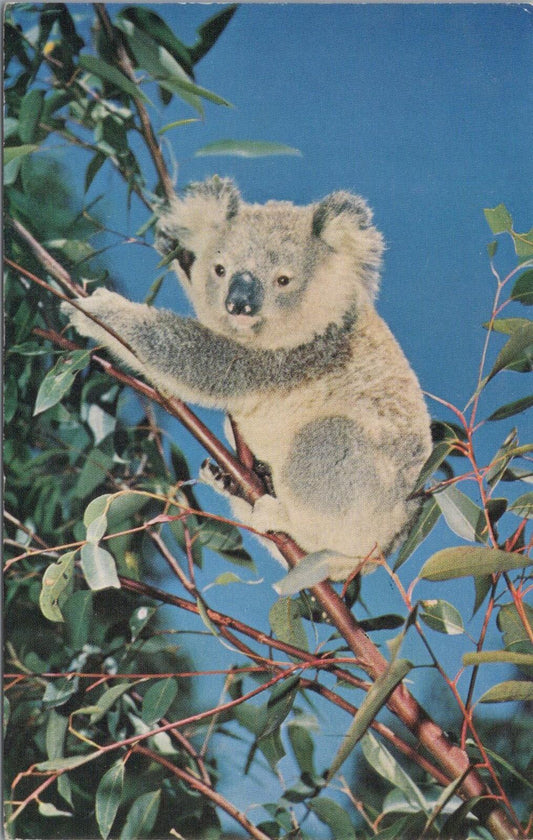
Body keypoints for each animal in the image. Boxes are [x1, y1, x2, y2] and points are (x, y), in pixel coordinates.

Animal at [61, 176, 432, 594]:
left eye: (283, 280)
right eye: (220, 270)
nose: (238, 304)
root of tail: (386, 548)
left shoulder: (289, 357)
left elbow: (201, 362)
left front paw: (94, 309)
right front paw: (172, 245)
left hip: (360, 485)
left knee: (327, 450)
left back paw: (285, 517)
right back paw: (230, 480)